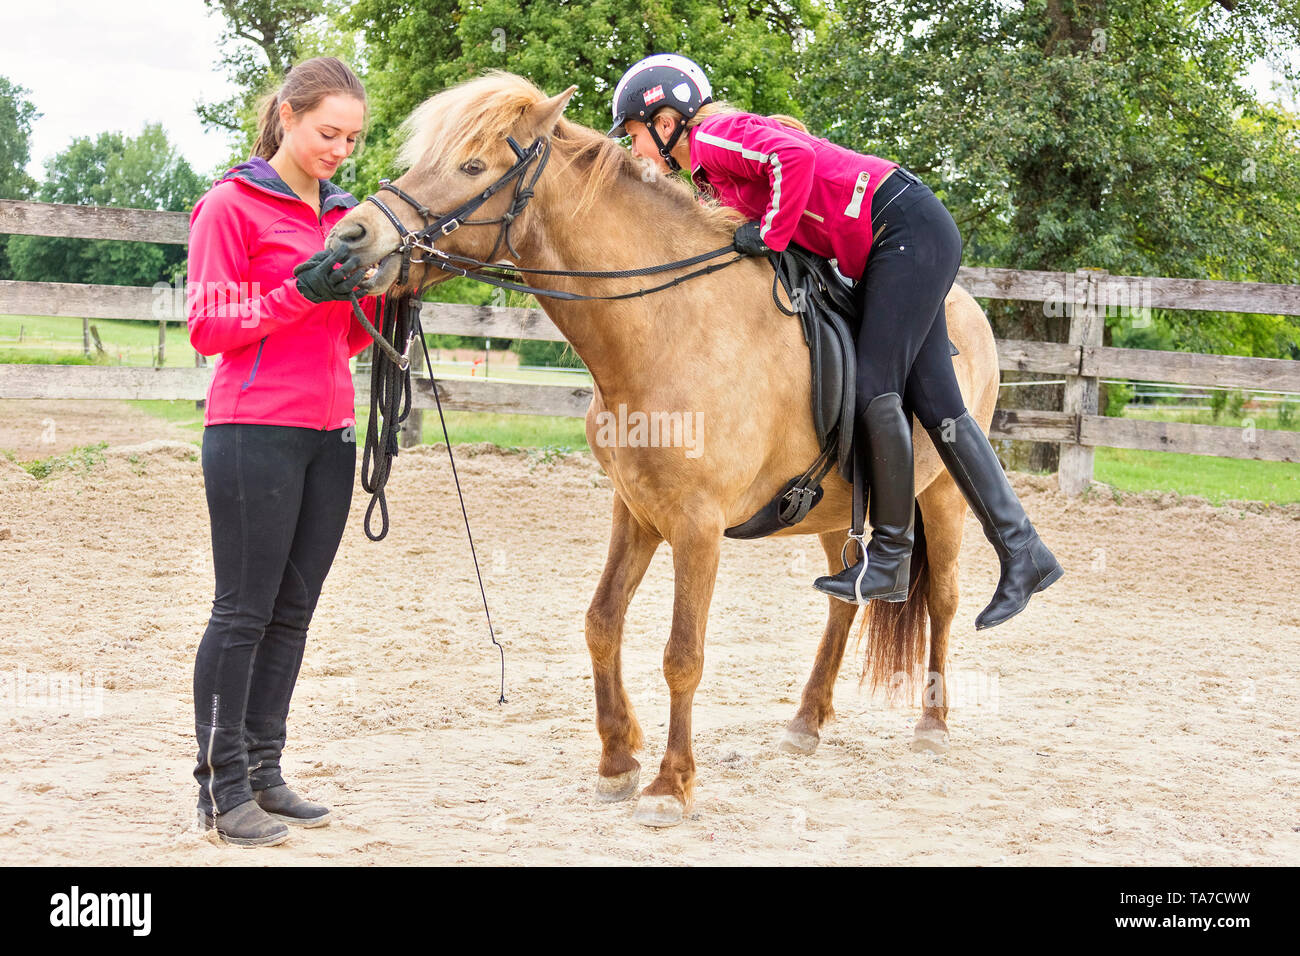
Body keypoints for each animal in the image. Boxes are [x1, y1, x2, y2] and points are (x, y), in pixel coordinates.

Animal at [330, 72, 998, 832]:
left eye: (471, 166)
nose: (352, 236)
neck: (664, 324)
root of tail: (969, 307)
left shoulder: (696, 526)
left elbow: (684, 654)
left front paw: (670, 784)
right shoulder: (637, 509)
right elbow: (600, 623)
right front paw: (617, 759)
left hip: (940, 496)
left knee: (942, 598)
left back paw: (933, 724)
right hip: (836, 511)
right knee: (844, 600)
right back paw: (806, 720)